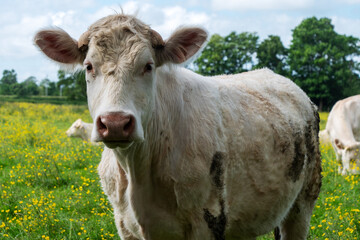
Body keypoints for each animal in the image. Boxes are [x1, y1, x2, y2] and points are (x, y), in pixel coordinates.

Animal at [35, 13, 322, 240]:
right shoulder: (124, 225)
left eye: (148, 66)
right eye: (89, 66)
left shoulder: (208, 221)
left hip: (303, 203)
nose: (115, 123)